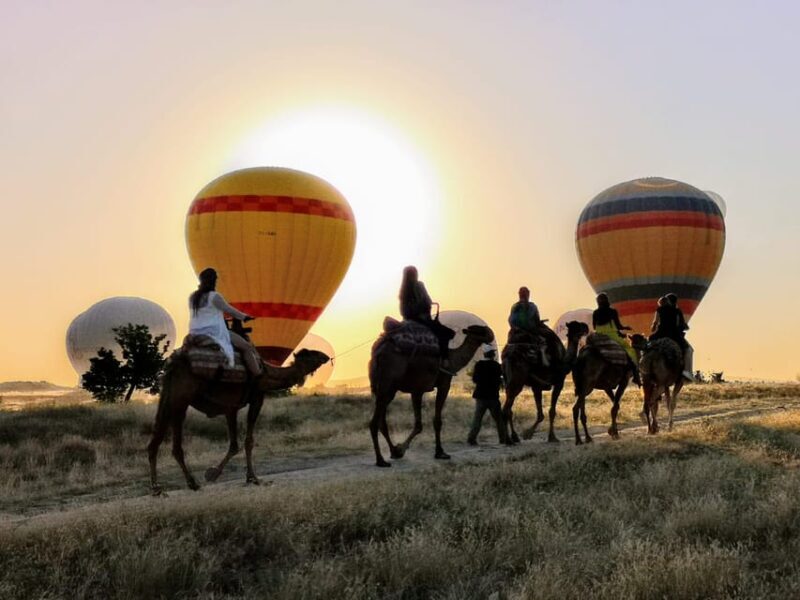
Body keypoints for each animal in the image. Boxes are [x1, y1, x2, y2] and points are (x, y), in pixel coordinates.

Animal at [147, 348, 329, 494]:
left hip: (168, 397)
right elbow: (247, 442)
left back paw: (157, 488)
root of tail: (173, 364)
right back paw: (191, 483)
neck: (266, 374)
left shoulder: (231, 408)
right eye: (312, 354)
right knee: (175, 445)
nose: (326, 356)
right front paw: (251, 478)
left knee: (155, 441)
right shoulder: (256, 398)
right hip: (181, 399)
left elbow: (235, 445)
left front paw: (217, 473)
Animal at [368, 323, 495, 467]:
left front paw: (399, 450)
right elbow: (434, 422)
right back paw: (380, 460)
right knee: (374, 423)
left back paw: (392, 452)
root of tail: (378, 353)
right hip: (388, 385)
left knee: (382, 421)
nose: (491, 333)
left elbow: (419, 424)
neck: (452, 359)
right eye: (480, 330)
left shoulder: (417, 390)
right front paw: (440, 452)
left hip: (383, 389)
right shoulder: (442, 384)